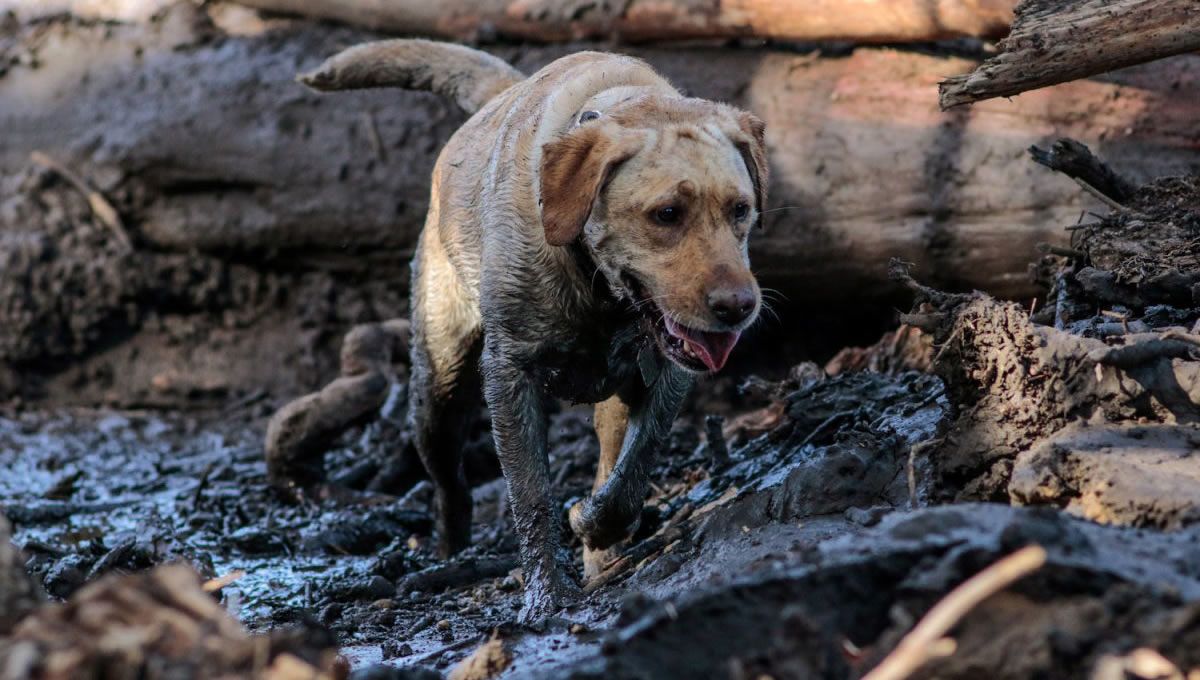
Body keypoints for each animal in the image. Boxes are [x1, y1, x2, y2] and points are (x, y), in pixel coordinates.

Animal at [304, 39, 763, 618]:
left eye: (741, 209)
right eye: (666, 213)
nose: (738, 306)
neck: (597, 286)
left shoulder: (666, 373)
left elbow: (632, 469)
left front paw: (595, 523)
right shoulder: (510, 373)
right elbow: (529, 491)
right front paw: (545, 593)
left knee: (610, 455)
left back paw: (602, 552)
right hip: (437, 389)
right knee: (449, 480)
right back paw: (449, 548)